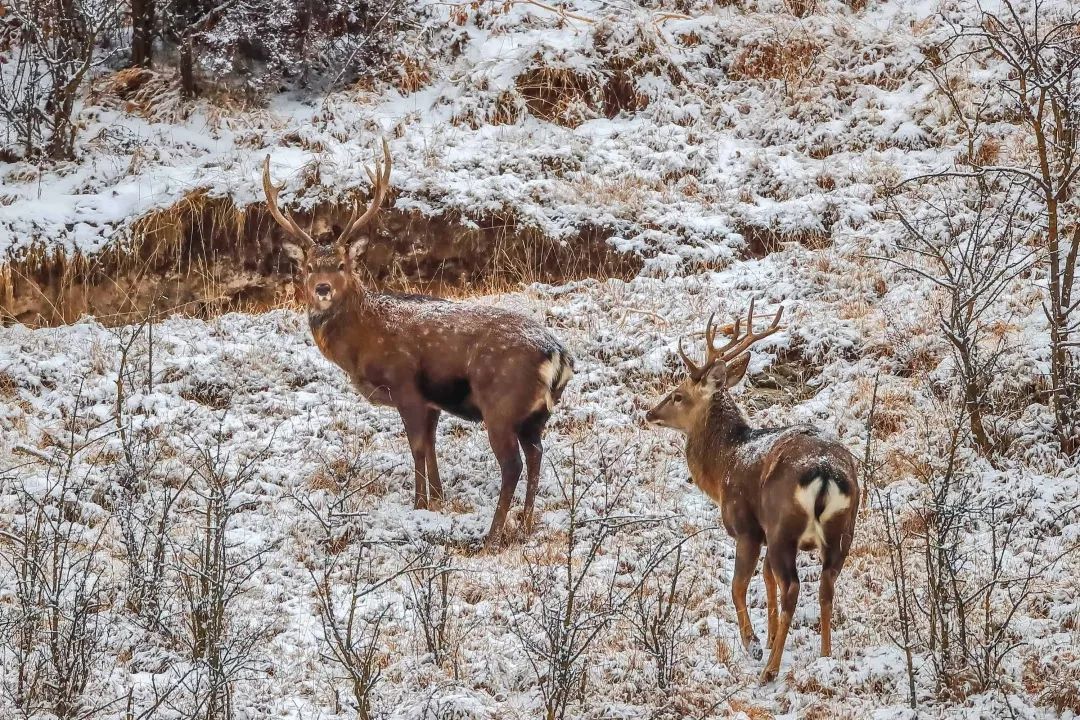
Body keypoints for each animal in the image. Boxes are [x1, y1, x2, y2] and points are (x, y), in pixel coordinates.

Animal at [263, 139, 574, 546]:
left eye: (342, 265)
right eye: (310, 266)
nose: (323, 288)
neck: (364, 341)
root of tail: (557, 355)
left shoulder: (406, 386)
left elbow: (416, 447)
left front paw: (419, 505)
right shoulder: (432, 401)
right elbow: (432, 445)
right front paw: (438, 498)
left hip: (500, 404)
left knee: (513, 464)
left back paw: (492, 534)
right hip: (535, 415)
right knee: (537, 455)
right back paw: (524, 523)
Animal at [639, 302, 859, 686]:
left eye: (678, 395)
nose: (650, 413)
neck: (726, 462)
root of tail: (826, 472)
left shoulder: (748, 528)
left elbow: (738, 586)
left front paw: (753, 643)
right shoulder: (766, 534)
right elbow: (766, 580)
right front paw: (769, 637)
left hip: (785, 527)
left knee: (793, 588)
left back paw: (770, 669)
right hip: (842, 531)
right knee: (825, 586)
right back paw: (825, 657)